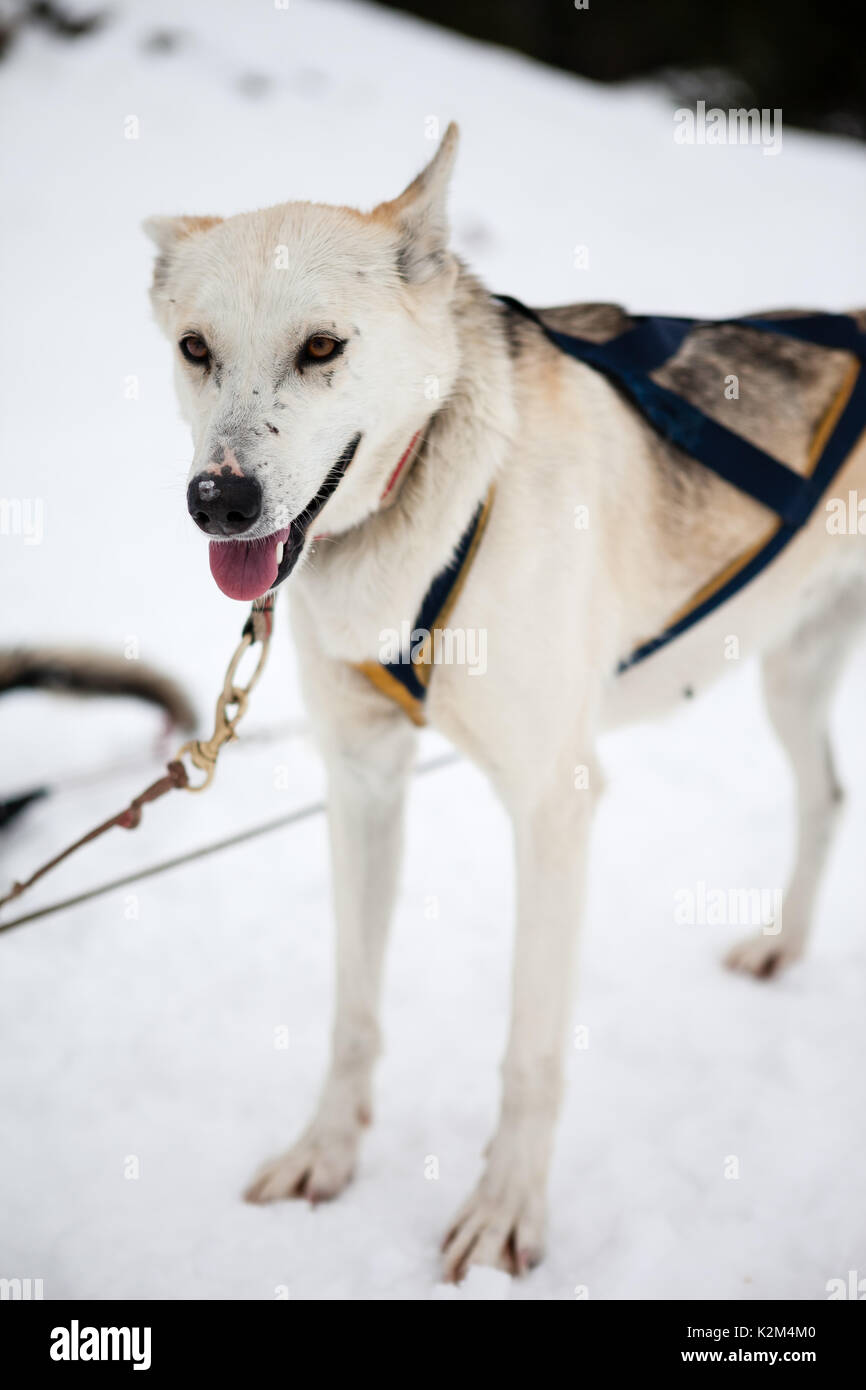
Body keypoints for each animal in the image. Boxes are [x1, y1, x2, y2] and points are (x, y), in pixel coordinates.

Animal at [145, 127, 866, 1278]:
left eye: (321, 347)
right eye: (197, 348)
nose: (218, 500)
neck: (434, 505)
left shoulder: (553, 805)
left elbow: (529, 1053)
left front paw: (504, 1213)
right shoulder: (362, 783)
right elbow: (352, 1012)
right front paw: (324, 1155)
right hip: (789, 674)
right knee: (826, 797)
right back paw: (780, 946)